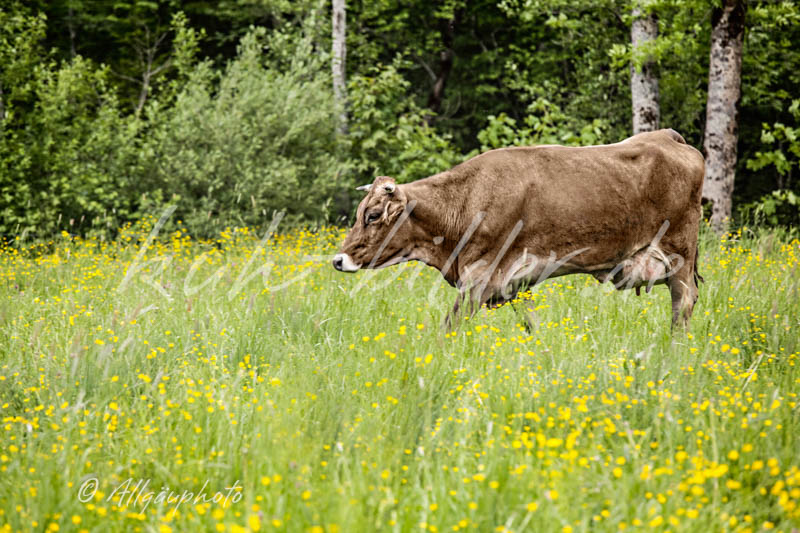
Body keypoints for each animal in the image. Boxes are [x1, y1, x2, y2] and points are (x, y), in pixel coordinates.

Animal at [334, 129, 704, 328]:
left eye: (372, 215)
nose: (338, 260)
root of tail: (668, 137)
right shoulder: (512, 282)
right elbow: (531, 324)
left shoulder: (478, 277)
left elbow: (450, 327)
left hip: (680, 254)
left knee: (683, 303)